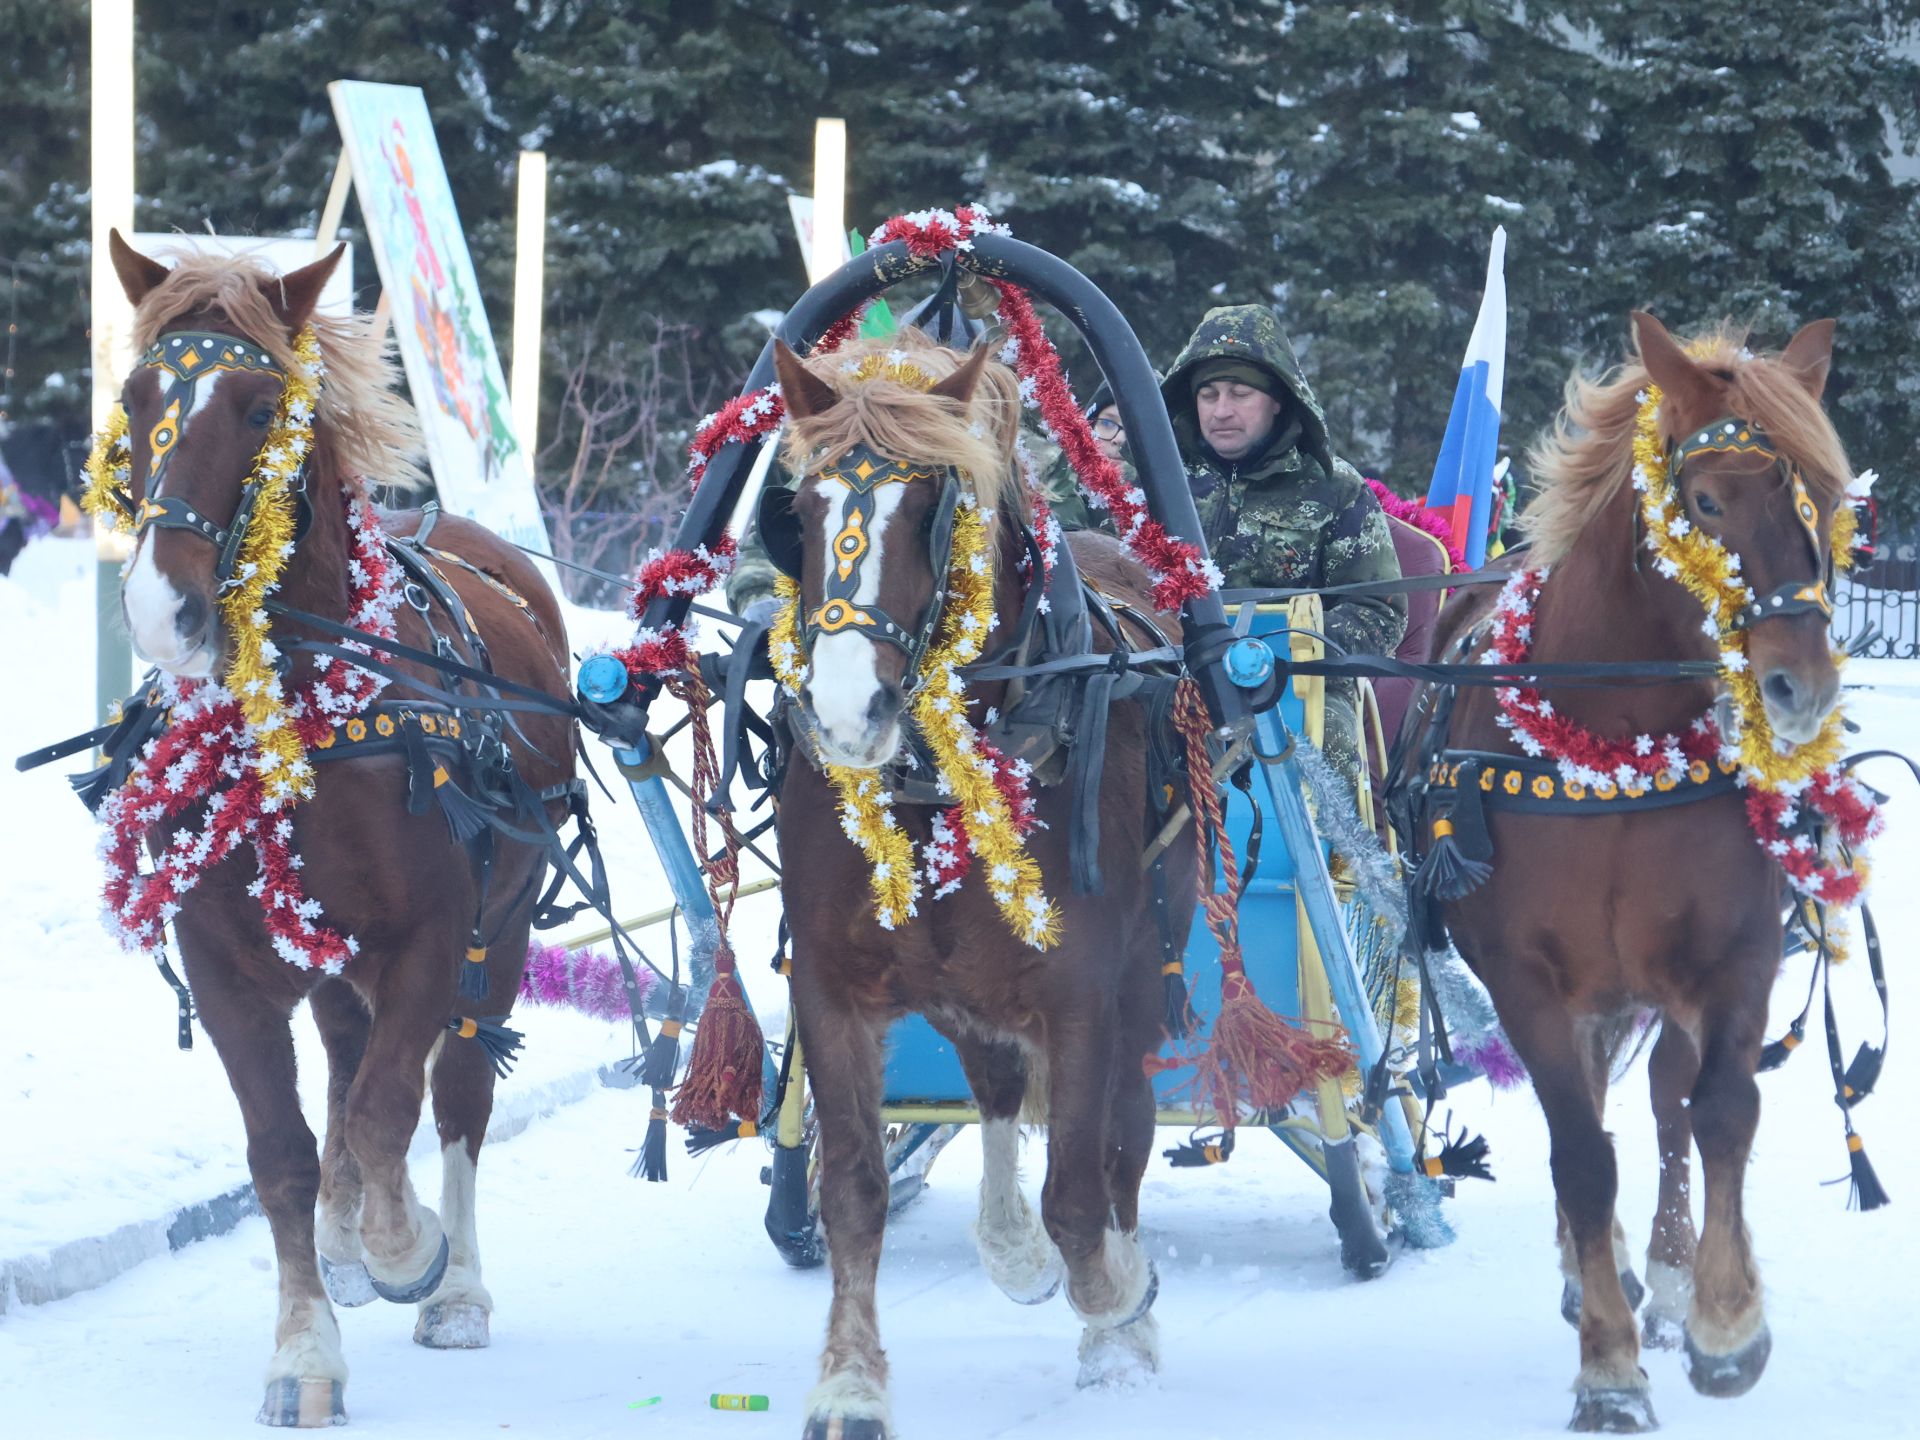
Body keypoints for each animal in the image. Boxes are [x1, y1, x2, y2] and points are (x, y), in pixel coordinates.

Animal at [107, 231, 568, 1428]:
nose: (161, 610)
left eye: (261, 406)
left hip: (500, 932)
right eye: (135, 397)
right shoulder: (222, 962)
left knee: (450, 1094)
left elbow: (389, 1111)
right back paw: (348, 1238)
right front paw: (306, 1350)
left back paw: (451, 1287)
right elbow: (285, 1152)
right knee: (346, 1068)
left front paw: (412, 1249)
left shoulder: (433, 936)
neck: (309, 716)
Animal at [760, 330, 1182, 1440]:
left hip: (1144, 968)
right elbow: (853, 1188)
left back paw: (1117, 1315)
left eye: (929, 510)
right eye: (799, 511)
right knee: (993, 1088)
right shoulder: (831, 987)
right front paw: (850, 1382)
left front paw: (1119, 1305)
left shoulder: (1082, 990)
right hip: (964, 990)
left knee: (1124, 1131)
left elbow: (1082, 1192)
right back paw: (1010, 1249)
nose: (847, 713)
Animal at [1436, 312, 1850, 1436]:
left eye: (1827, 502)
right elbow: (1581, 1154)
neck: (1613, 745)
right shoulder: (1527, 980)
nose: (1801, 686)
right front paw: (1609, 1369)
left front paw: (1723, 1321)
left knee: (1668, 1102)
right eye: (1705, 503)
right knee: (1596, 1106)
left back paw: (1662, 1276)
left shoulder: (1734, 958)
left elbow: (1720, 1111)